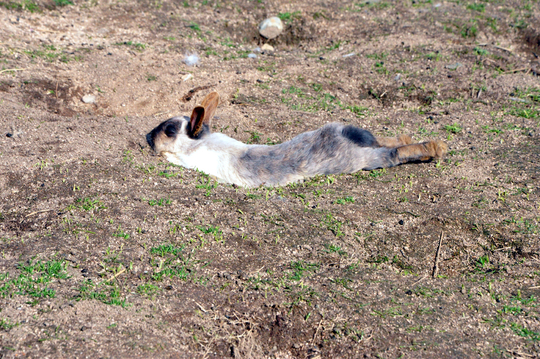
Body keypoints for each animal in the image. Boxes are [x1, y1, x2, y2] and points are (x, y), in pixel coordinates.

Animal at [146, 92, 446, 188]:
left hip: (366, 159)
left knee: (393, 154)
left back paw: (433, 148)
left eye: (169, 129)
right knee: (386, 139)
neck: (200, 142)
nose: (148, 136)